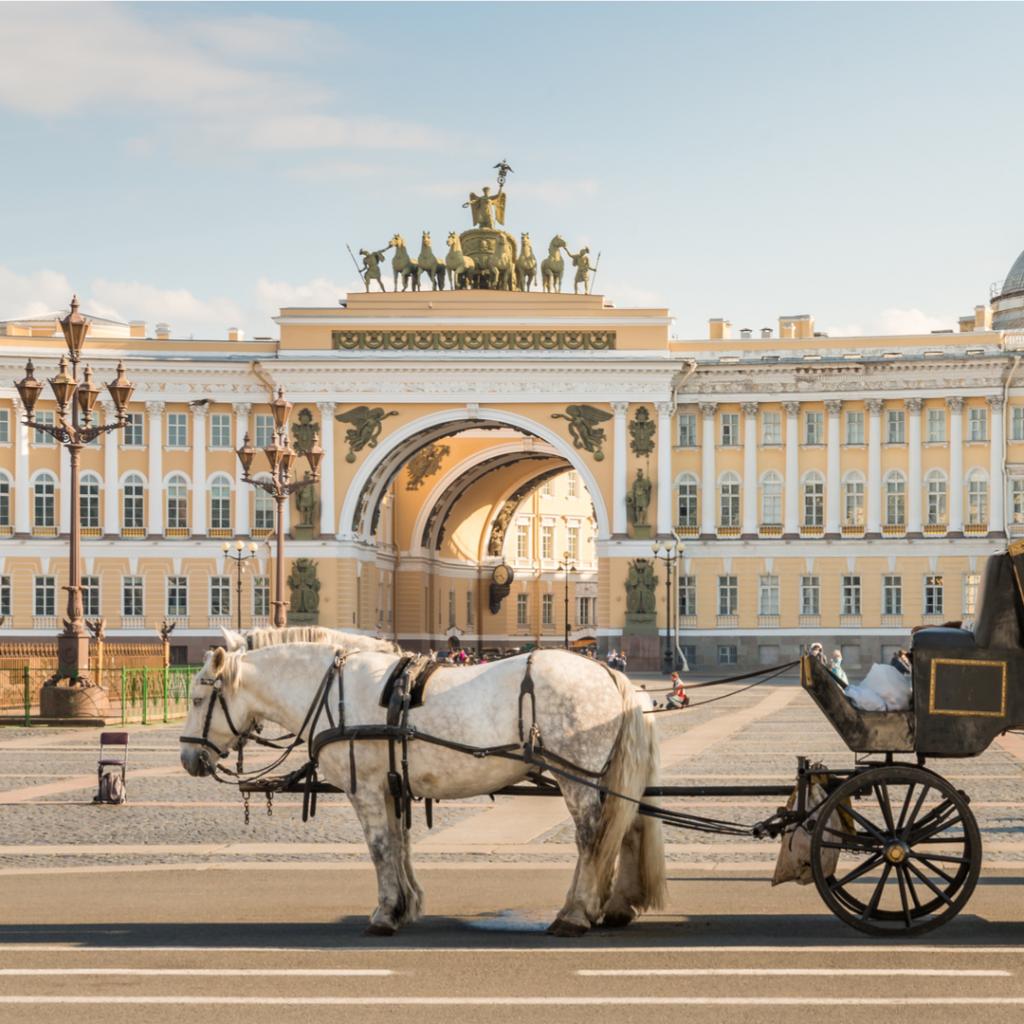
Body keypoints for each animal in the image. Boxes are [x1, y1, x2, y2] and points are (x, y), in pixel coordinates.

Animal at [180, 643, 667, 937]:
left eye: (197, 700)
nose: (188, 758)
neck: (333, 693)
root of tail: (609, 672)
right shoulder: (392, 788)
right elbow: (400, 844)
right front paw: (405, 905)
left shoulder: (366, 789)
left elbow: (380, 848)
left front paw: (383, 915)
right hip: (607, 777)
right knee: (628, 829)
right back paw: (616, 907)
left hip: (575, 776)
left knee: (592, 839)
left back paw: (575, 913)